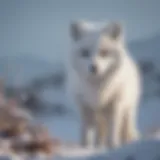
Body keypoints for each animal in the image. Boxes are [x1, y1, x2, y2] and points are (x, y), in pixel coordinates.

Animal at [66, 20, 141, 149]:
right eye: (85, 53)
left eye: (104, 52)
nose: (93, 67)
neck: (98, 90)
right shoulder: (85, 107)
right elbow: (86, 135)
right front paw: (85, 149)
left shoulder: (114, 105)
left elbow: (113, 132)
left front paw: (113, 147)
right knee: (98, 134)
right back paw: (97, 146)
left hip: (127, 111)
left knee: (124, 130)